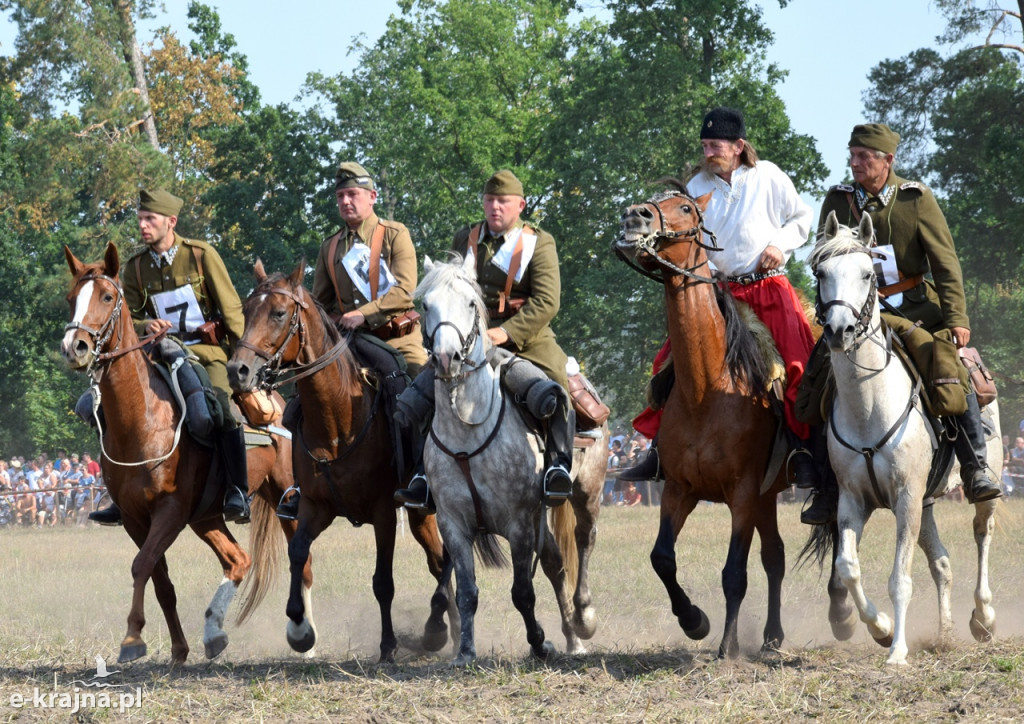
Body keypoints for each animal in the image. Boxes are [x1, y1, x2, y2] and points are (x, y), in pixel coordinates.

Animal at [60, 244, 305, 667]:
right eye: (72, 297)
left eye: (106, 297)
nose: (75, 346)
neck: (142, 420)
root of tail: (275, 400)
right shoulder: (135, 519)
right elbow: (160, 580)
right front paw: (177, 650)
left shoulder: (170, 512)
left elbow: (142, 566)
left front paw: (132, 638)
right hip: (206, 516)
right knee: (238, 560)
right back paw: (213, 632)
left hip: (282, 497)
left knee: (300, 564)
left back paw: (303, 637)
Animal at [230, 260, 458, 663]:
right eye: (246, 311)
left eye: (278, 313)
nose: (238, 370)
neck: (337, 421)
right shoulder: (313, 507)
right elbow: (298, 553)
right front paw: (300, 631)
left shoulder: (383, 513)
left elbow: (383, 582)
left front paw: (388, 644)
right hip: (419, 515)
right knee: (438, 560)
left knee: (447, 560)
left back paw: (439, 629)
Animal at [415, 254, 606, 667]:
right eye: (425, 305)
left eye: (471, 303)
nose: (446, 358)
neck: (467, 433)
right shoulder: (453, 525)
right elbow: (466, 591)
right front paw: (465, 652)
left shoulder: (518, 523)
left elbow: (522, 592)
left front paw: (539, 642)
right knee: (554, 563)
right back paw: (572, 637)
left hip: (587, 490)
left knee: (584, 541)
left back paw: (583, 619)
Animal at [811, 211, 995, 663]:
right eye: (821, 273)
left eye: (866, 273)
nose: (840, 330)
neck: (869, 406)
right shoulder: (853, 501)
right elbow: (848, 567)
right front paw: (881, 627)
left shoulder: (907, 496)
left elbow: (900, 577)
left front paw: (896, 652)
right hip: (927, 503)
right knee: (942, 563)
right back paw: (945, 633)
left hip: (979, 486)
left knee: (982, 533)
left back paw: (983, 617)